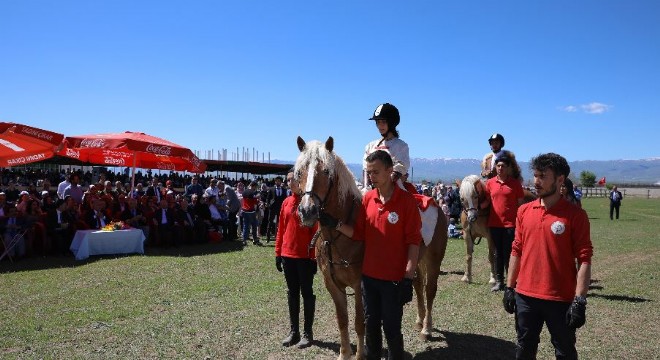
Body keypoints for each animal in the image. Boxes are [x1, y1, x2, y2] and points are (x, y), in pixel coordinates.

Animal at [296, 136, 446, 358]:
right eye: (299, 172)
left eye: (326, 172)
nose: (307, 211)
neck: (338, 236)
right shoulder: (333, 285)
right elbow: (342, 321)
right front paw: (344, 354)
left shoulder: (360, 285)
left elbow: (360, 322)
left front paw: (359, 355)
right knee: (418, 285)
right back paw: (420, 322)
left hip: (434, 259)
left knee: (429, 290)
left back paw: (427, 329)